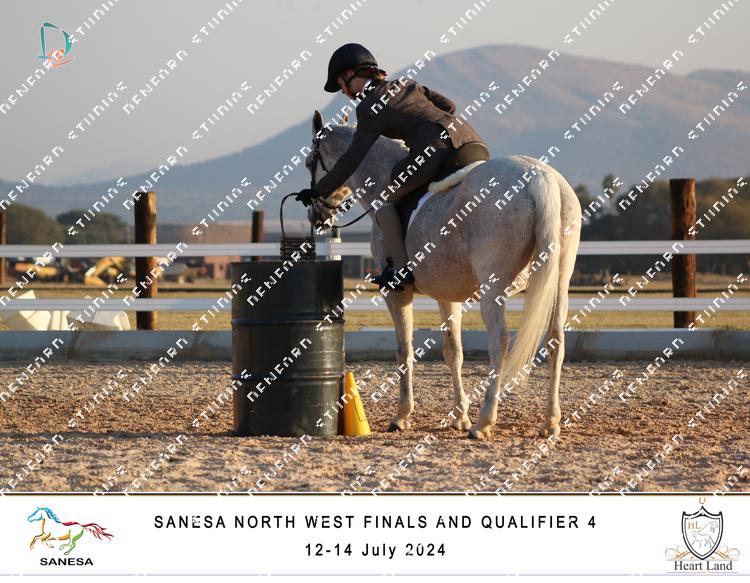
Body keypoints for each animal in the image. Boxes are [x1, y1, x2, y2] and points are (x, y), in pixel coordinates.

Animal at [306, 110, 582, 440]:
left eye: (310, 162)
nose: (315, 216)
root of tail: (538, 176)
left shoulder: (397, 293)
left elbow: (404, 350)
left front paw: (402, 416)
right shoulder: (447, 296)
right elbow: (453, 351)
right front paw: (459, 415)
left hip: (494, 288)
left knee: (499, 342)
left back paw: (484, 422)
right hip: (558, 283)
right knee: (555, 340)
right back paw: (550, 422)